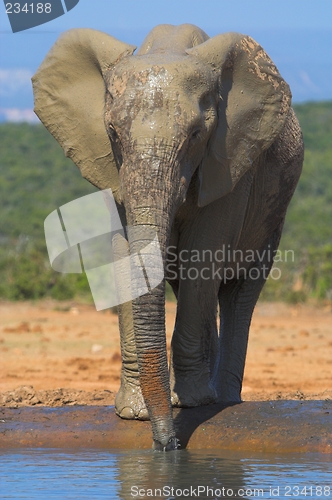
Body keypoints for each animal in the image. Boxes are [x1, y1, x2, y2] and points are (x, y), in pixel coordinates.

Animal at [33, 25, 304, 452]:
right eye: (113, 133)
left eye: (195, 135)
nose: (169, 446)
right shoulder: (110, 167)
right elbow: (124, 252)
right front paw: (134, 413)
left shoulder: (228, 161)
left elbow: (203, 256)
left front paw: (189, 406)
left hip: (274, 208)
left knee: (238, 292)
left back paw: (221, 399)